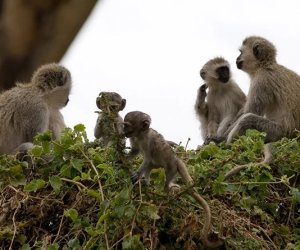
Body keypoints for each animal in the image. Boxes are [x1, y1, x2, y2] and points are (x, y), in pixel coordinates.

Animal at [123, 112, 224, 249]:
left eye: (127, 125)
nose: (123, 131)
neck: (141, 135)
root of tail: (177, 159)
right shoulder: (135, 139)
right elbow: (136, 151)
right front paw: (123, 159)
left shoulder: (147, 142)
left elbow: (147, 159)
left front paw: (137, 174)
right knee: (152, 165)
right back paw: (147, 182)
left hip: (172, 167)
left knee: (162, 176)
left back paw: (169, 189)